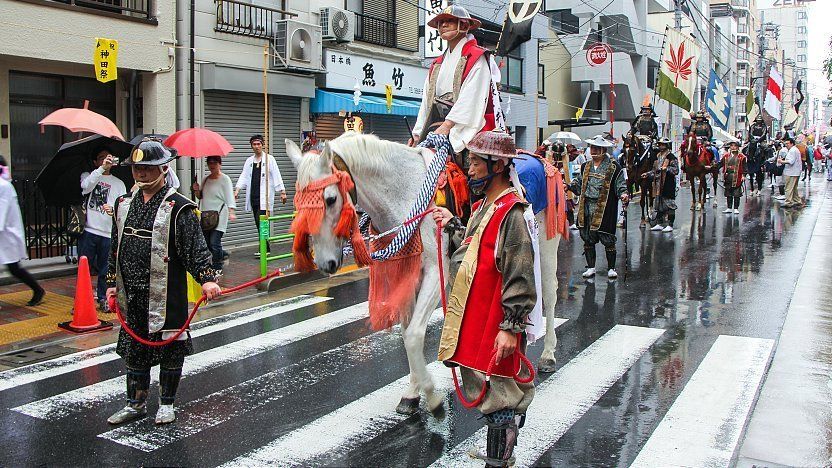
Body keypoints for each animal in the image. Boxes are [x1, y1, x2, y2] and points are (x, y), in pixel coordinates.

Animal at [282, 133, 564, 414]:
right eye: (298, 203)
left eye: (330, 199)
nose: (325, 263)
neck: (403, 195)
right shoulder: (408, 273)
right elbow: (407, 331)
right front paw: (412, 392)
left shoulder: (434, 272)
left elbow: (414, 334)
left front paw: (432, 395)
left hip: (544, 241)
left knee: (549, 295)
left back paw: (547, 354)